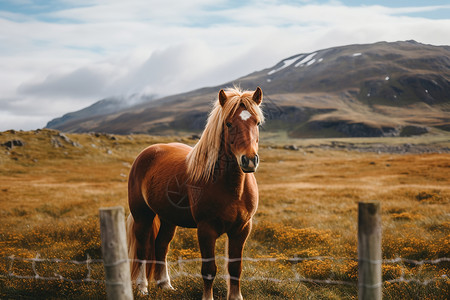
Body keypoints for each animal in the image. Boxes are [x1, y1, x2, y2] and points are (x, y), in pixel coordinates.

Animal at [126, 86, 264, 300]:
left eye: (256, 122)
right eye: (228, 123)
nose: (249, 160)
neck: (231, 188)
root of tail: (146, 154)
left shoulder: (242, 229)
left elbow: (235, 268)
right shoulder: (206, 230)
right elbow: (209, 269)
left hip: (168, 219)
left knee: (161, 245)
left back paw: (165, 285)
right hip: (143, 216)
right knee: (142, 249)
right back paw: (142, 288)